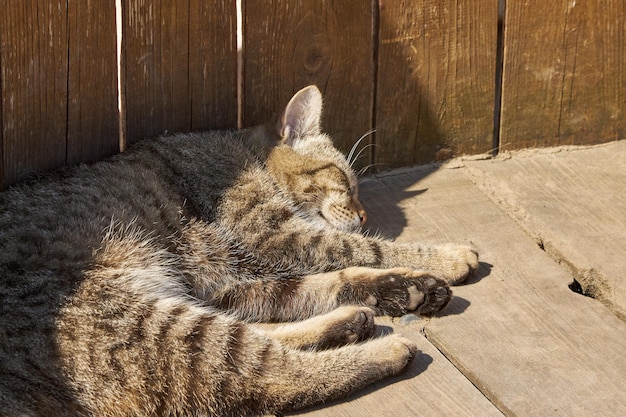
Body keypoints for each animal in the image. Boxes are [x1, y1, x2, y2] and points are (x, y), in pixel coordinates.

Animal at [1, 85, 478, 416]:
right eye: (345, 180)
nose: (363, 215)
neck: (244, 154)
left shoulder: (230, 281)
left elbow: (323, 282)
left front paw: (405, 286)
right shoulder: (274, 237)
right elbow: (366, 251)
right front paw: (447, 257)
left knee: (265, 341)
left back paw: (356, 319)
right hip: (143, 319)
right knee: (270, 378)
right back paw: (383, 349)